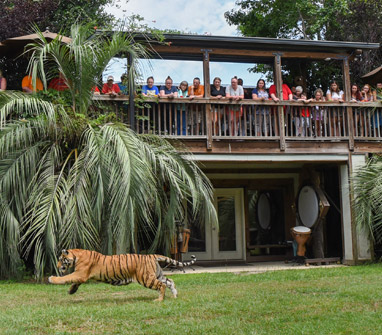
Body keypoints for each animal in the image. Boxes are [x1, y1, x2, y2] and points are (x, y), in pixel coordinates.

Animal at [48, 249, 197, 302]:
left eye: (61, 259)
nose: (57, 266)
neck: (76, 256)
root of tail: (151, 255)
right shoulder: (80, 275)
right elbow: (74, 282)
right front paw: (71, 291)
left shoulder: (80, 273)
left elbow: (65, 278)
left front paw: (52, 278)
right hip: (157, 275)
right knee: (170, 281)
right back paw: (175, 296)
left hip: (146, 278)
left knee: (162, 285)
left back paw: (159, 300)